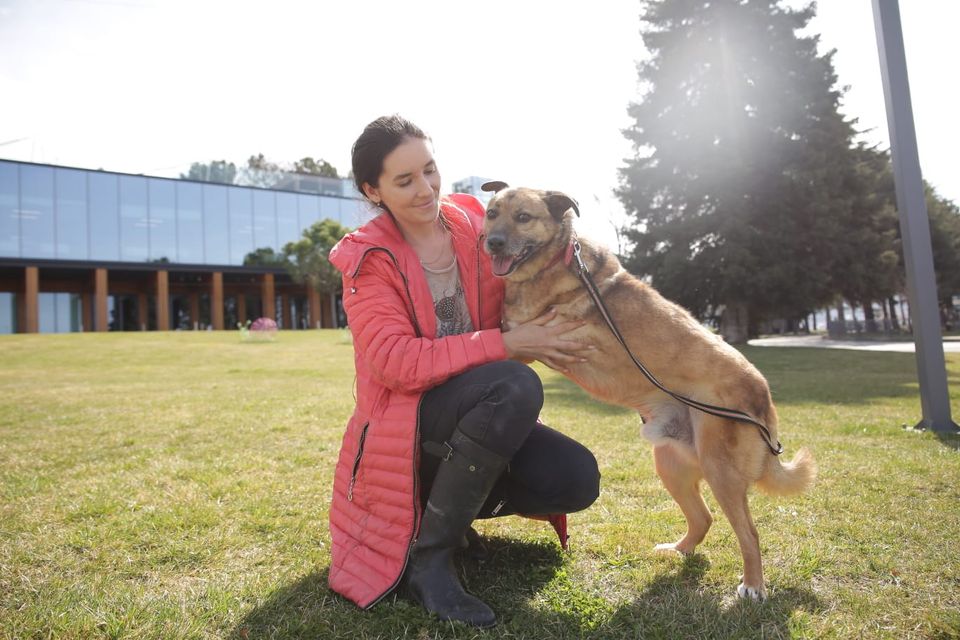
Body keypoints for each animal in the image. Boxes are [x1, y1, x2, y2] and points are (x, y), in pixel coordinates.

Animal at [484, 184, 812, 600]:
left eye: (523, 217)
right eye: (492, 213)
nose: (492, 242)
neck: (556, 262)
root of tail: (763, 401)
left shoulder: (530, 339)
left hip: (720, 471)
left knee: (750, 534)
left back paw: (752, 586)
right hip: (671, 465)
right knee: (703, 518)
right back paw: (679, 550)